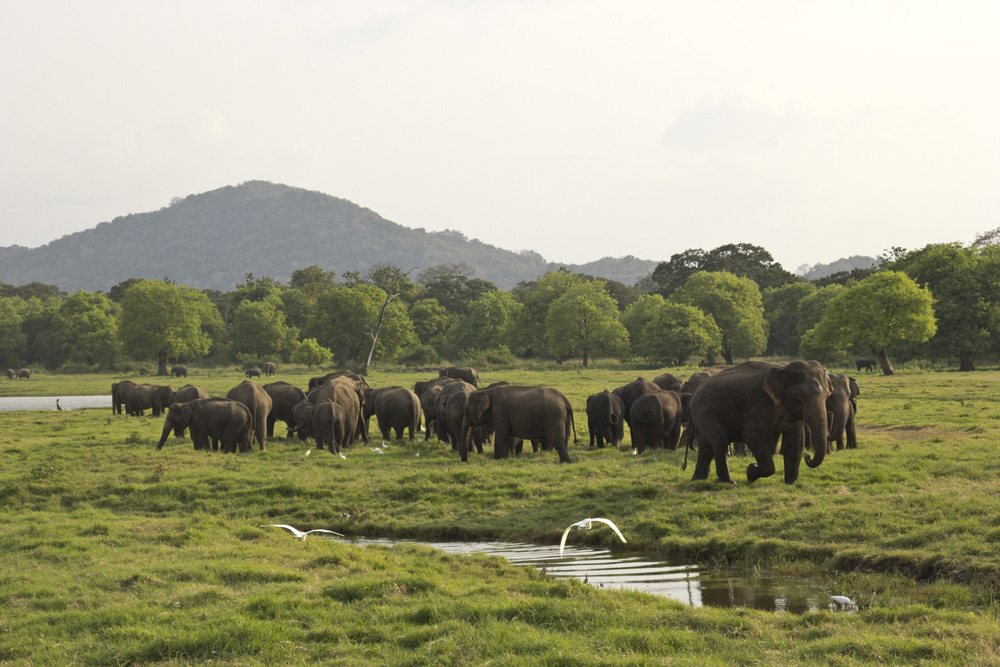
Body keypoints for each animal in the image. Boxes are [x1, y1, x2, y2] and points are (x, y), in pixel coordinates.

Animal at [688, 360, 836, 486]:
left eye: (826, 397)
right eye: (800, 397)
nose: (808, 455)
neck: (784, 368)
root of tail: (695, 391)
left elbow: (795, 440)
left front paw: (791, 483)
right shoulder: (760, 403)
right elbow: (751, 436)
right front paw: (750, 471)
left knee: (706, 446)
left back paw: (699, 480)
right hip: (703, 411)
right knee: (719, 441)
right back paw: (728, 482)